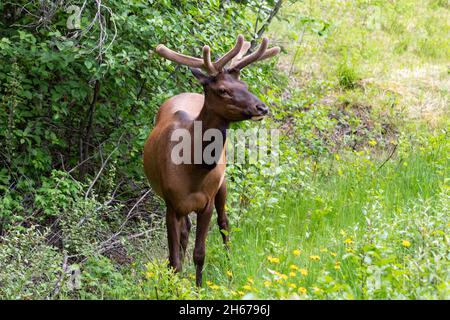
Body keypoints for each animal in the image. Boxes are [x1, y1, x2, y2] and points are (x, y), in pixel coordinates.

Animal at [144, 35, 280, 288]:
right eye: (223, 90)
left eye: (245, 86)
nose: (262, 107)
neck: (192, 168)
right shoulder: (171, 203)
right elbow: (173, 259)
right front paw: (174, 286)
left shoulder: (206, 201)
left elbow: (200, 253)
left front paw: (198, 289)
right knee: (186, 232)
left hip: (223, 183)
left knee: (225, 224)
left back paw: (230, 270)